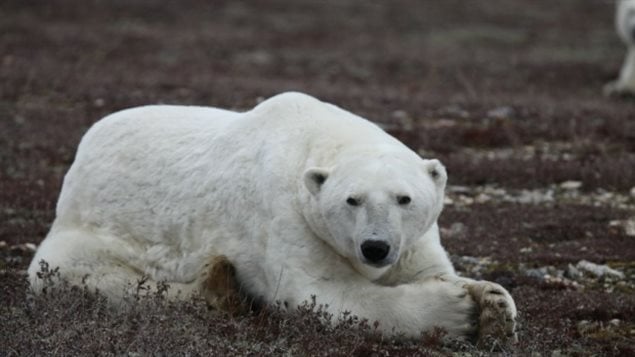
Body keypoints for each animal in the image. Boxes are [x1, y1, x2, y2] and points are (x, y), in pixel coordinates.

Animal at [28, 92, 516, 342]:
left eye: (404, 198)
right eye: (352, 200)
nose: (375, 247)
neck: (314, 138)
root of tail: (83, 150)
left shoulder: (412, 242)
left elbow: (430, 271)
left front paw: (492, 303)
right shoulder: (286, 218)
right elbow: (326, 296)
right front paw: (458, 312)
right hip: (96, 229)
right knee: (81, 275)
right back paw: (217, 286)